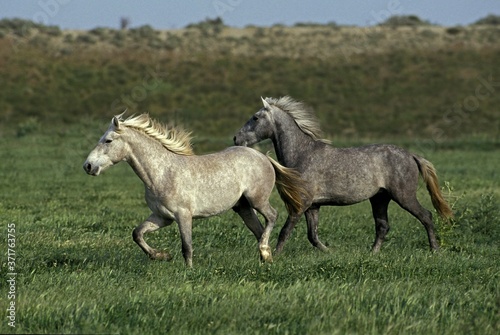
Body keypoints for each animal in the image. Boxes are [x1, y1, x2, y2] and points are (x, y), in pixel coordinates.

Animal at [84, 115, 306, 268]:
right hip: (243, 208)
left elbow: (187, 246)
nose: (88, 166)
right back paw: (265, 258)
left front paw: (188, 271)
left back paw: (265, 251)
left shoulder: (183, 215)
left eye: (108, 140)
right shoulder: (162, 217)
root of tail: (263, 157)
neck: (162, 172)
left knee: (272, 216)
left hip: (257, 200)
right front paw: (161, 256)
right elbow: (137, 234)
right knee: (259, 230)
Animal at [234, 96, 454, 255]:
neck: (302, 154)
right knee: (383, 226)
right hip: (380, 198)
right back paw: (372, 253)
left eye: (255, 117)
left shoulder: (300, 205)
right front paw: (331, 251)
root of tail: (411, 155)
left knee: (426, 216)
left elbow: (285, 232)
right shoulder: (313, 207)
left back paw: (435, 250)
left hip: (404, 196)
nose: (236, 138)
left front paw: (276, 256)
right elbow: (312, 236)